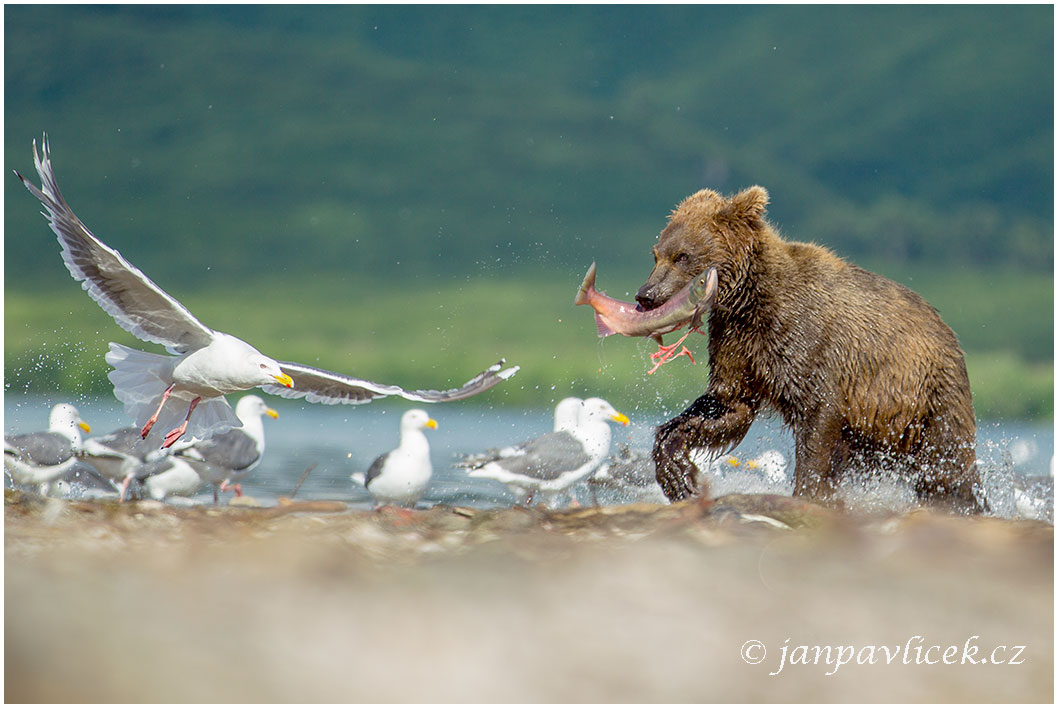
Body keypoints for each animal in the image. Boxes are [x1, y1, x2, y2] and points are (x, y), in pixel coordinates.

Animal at [634, 186, 990, 514]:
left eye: (683, 256)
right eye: (656, 254)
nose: (645, 295)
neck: (748, 299)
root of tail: (947, 329)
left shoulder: (806, 340)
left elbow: (817, 415)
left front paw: (807, 493)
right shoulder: (737, 342)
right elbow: (726, 403)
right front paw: (679, 475)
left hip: (925, 397)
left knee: (947, 466)